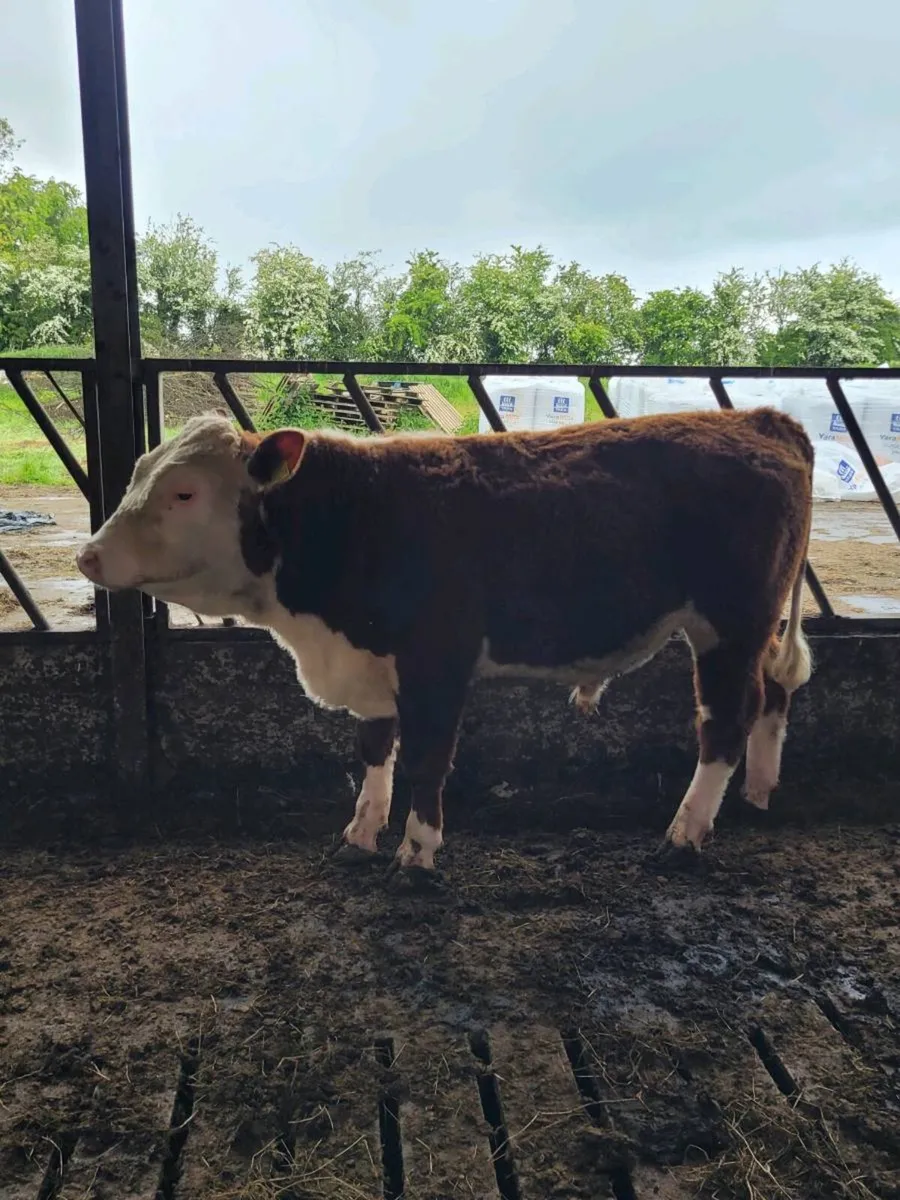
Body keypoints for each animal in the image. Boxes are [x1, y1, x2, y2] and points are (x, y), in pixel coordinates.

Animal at [76, 406, 813, 874]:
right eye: (138, 473)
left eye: (184, 493)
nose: (88, 555)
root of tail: (759, 417)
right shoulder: (372, 664)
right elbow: (376, 751)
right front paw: (360, 834)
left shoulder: (437, 661)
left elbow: (428, 760)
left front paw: (416, 851)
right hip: (752, 630)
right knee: (773, 694)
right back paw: (758, 793)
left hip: (730, 623)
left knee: (727, 717)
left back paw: (685, 833)